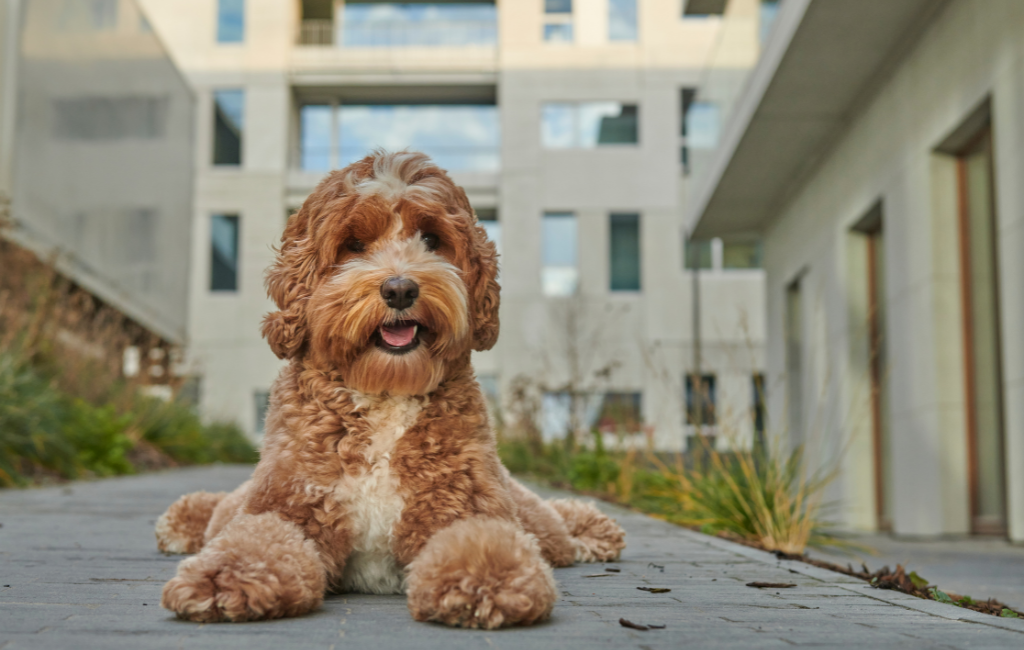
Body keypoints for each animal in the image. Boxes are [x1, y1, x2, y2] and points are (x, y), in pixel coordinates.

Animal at [155, 150, 626, 626]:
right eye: (354, 244)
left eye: (432, 239)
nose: (400, 289)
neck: (385, 391)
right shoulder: (287, 502)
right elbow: (255, 538)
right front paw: (225, 578)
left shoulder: (465, 505)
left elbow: (483, 540)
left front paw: (486, 581)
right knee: (223, 508)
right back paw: (185, 519)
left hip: (524, 508)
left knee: (552, 526)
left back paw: (592, 529)